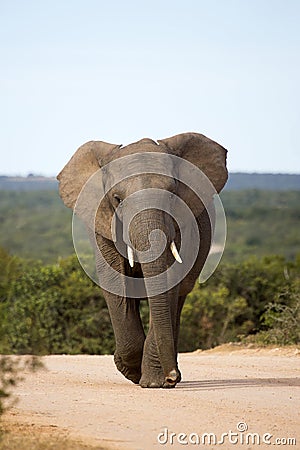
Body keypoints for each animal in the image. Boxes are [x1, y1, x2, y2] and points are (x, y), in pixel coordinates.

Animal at [57, 132, 227, 388]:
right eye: (117, 199)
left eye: (173, 194)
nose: (170, 376)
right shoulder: (101, 221)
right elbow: (115, 279)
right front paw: (131, 371)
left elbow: (169, 281)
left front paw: (153, 381)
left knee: (179, 296)